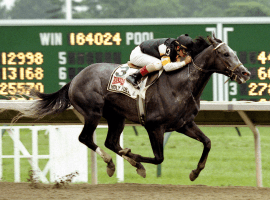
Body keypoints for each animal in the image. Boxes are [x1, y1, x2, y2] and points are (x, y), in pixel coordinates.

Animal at [15, 36, 250, 181]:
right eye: (226, 54)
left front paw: (195, 172)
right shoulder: (154, 126)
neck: (181, 84)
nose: (245, 73)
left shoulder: (184, 124)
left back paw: (125, 160)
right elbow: (158, 158)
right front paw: (135, 158)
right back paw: (112, 163)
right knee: (86, 139)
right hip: (92, 113)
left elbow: (207, 142)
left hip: (116, 117)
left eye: (234, 52)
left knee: (111, 141)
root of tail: (75, 78)